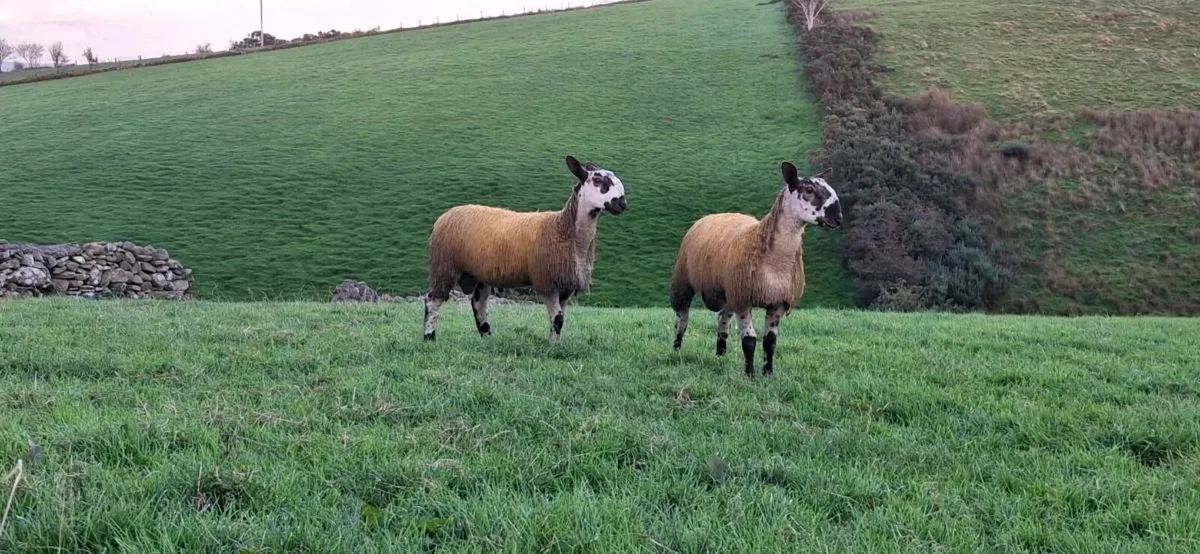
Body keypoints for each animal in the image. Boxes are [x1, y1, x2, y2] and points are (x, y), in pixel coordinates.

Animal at [423, 155, 627, 342]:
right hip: (444, 265)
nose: (622, 203)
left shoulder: (566, 284)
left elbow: (560, 318)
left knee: (478, 303)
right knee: (433, 300)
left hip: (481, 271)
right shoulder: (546, 281)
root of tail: (445, 215)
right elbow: (558, 318)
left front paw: (556, 343)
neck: (564, 230)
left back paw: (487, 336)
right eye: (598, 181)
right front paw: (552, 346)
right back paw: (429, 336)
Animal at [668, 162, 842, 377]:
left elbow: (770, 342)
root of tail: (713, 215)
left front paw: (768, 374)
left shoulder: (777, 302)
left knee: (722, 320)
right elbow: (749, 341)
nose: (838, 217)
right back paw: (676, 351)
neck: (774, 261)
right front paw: (750, 374)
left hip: (729, 290)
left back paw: (720, 355)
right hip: (684, 280)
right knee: (681, 319)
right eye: (809, 189)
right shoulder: (744, 299)